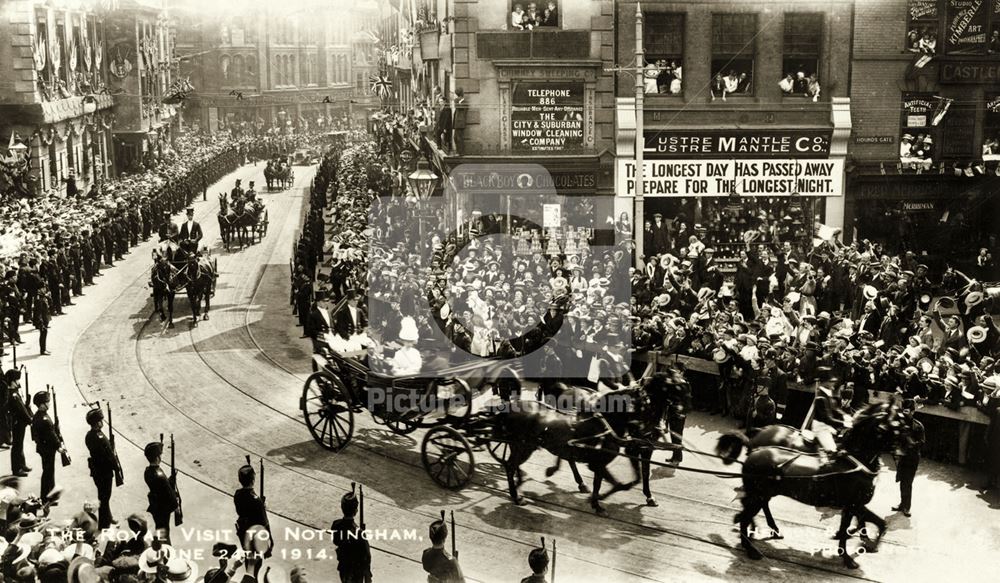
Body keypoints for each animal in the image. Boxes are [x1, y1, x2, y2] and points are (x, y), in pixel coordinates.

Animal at [724, 406, 912, 572]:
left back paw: (762, 532)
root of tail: (754, 450)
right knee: (746, 517)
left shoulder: (855, 506)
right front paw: (849, 557)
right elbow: (851, 529)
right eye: (898, 427)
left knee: (751, 510)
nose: (911, 448)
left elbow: (879, 523)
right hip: (758, 496)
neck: (854, 463)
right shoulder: (853, 506)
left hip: (762, 495)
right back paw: (751, 547)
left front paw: (866, 543)